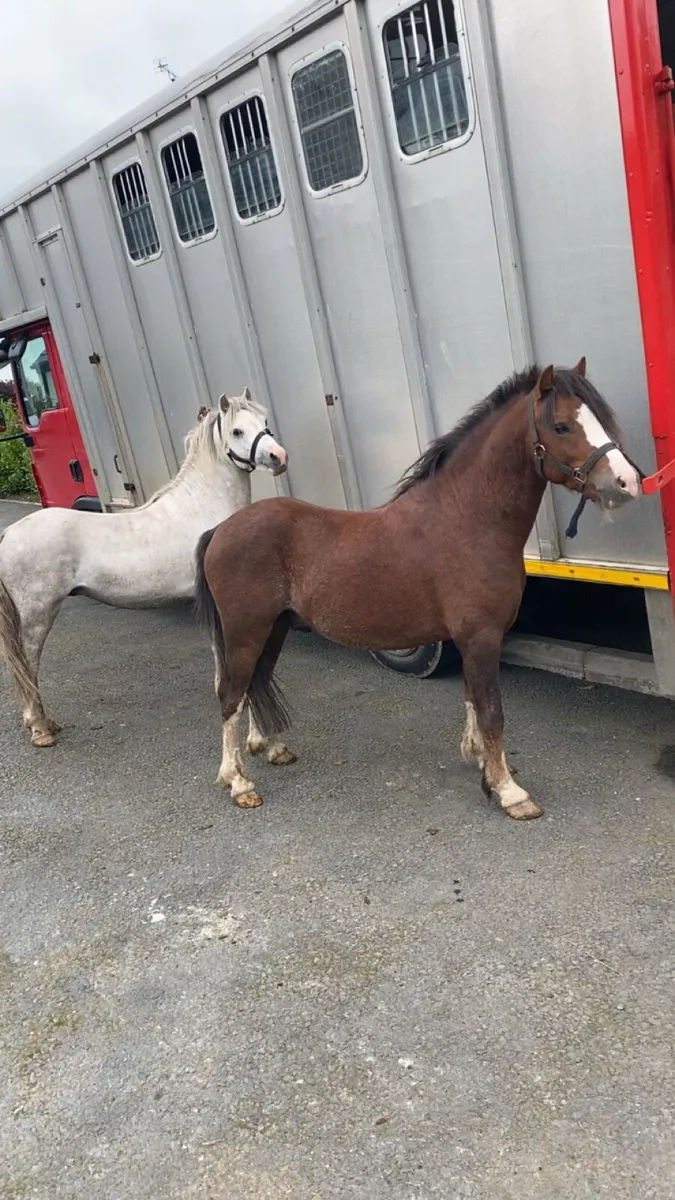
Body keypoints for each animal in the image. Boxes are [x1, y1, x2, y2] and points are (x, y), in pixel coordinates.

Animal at [0, 388, 288, 748]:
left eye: (264, 421)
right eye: (237, 431)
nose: (278, 457)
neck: (203, 507)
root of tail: (9, 534)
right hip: (38, 614)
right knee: (27, 664)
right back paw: (41, 729)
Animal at [195, 360, 640, 820]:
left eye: (600, 417)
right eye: (562, 425)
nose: (627, 482)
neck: (468, 519)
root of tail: (220, 530)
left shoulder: (472, 639)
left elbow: (473, 699)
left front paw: (480, 760)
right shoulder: (481, 636)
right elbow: (491, 709)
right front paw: (508, 791)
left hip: (275, 626)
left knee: (256, 681)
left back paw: (271, 748)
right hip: (246, 630)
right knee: (230, 694)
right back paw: (238, 782)